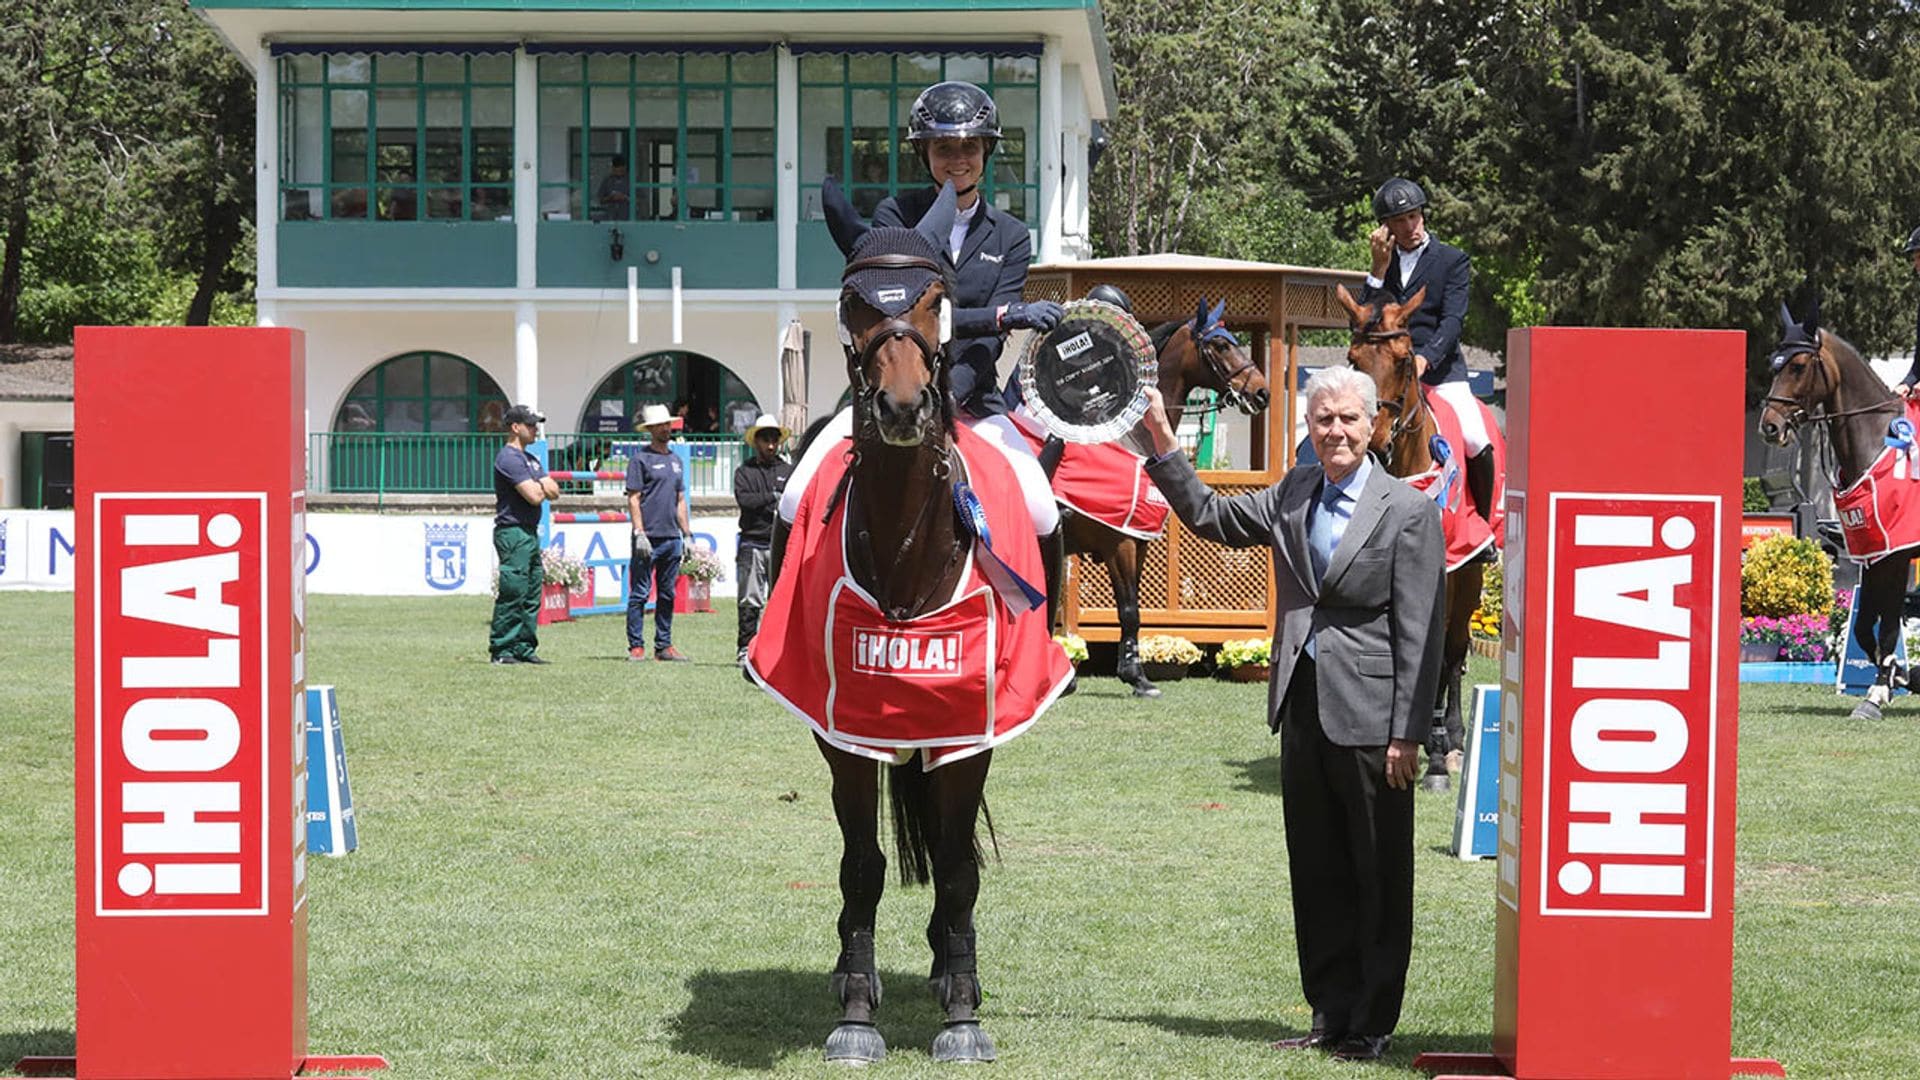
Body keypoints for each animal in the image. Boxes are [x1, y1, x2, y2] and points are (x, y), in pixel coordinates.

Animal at [1021, 297, 1274, 691]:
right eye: (1220, 345)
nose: (1261, 393)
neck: (1131, 445)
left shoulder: (1136, 543)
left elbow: (1133, 610)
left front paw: (1133, 671)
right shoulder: (1118, 542)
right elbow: (1128, 610)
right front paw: (1136, 678)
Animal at [1336, 284, 1482, 791]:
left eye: (1403, 360)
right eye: (1353, 358)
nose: (1375, 440)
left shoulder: (1446, 572)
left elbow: (1435, 656)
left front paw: (1436, 756)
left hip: (1471, 577)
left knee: (1453, 652)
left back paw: (1452, 741)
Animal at [1758, 297, 1912, 718]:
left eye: (1797, 366)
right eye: (1773, 363)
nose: (1769, 427)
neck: (1877, 441)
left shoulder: (1896, 551)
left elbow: (1888, 626)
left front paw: (1876, 694)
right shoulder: (1871, 549)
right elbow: (1863, 626)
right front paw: (1898, 678)